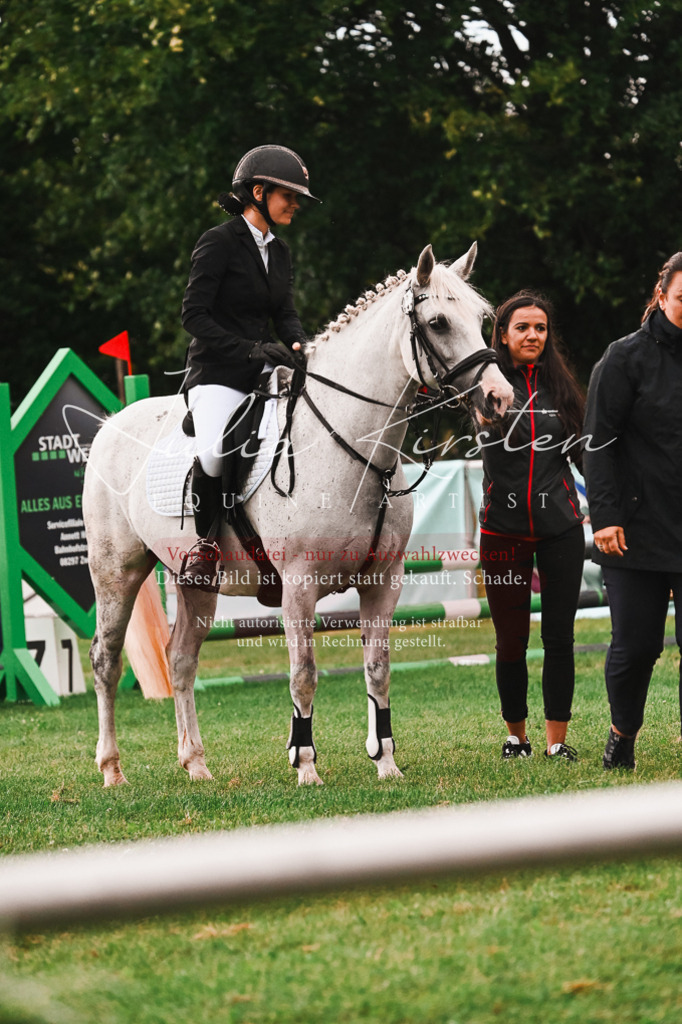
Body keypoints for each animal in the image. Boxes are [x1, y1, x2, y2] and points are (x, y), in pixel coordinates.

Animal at [83, 243, 514, 787]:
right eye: (437, 322)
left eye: (481, 320)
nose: (500, 398)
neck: (352, 446)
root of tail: (108, 425)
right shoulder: (299, 584)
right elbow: (304, 673)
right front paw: (306, 766)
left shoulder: (383, 581)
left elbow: (378, 669)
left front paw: (386, 764)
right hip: (117, 572)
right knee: (106, 660)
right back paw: (112, 770)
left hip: (194, 580)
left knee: (181, 660)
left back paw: (196, 765)